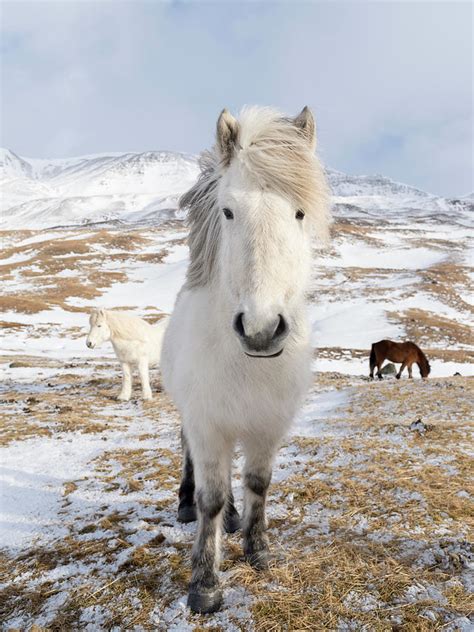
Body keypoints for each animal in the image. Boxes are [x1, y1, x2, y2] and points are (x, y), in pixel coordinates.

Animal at [161, 105, 332, 612]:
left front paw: (258, 550)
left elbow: (258, 483)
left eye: (299, 212)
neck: (249, 363)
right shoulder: (207, 423)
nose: (261, 328)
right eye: (228, 210)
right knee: (192, 464)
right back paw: (186, 505)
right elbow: (211, 498)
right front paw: (205, 584)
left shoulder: (267, 425)